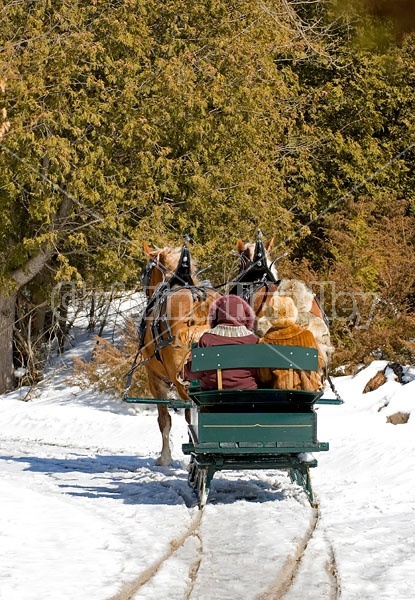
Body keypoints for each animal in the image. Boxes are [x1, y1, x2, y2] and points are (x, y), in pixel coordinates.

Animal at [138, 241, 223, 466]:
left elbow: (164, 420)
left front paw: (165, 457)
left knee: (190, 414)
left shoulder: (155, 378)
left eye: (146, 271)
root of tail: (199, 297)